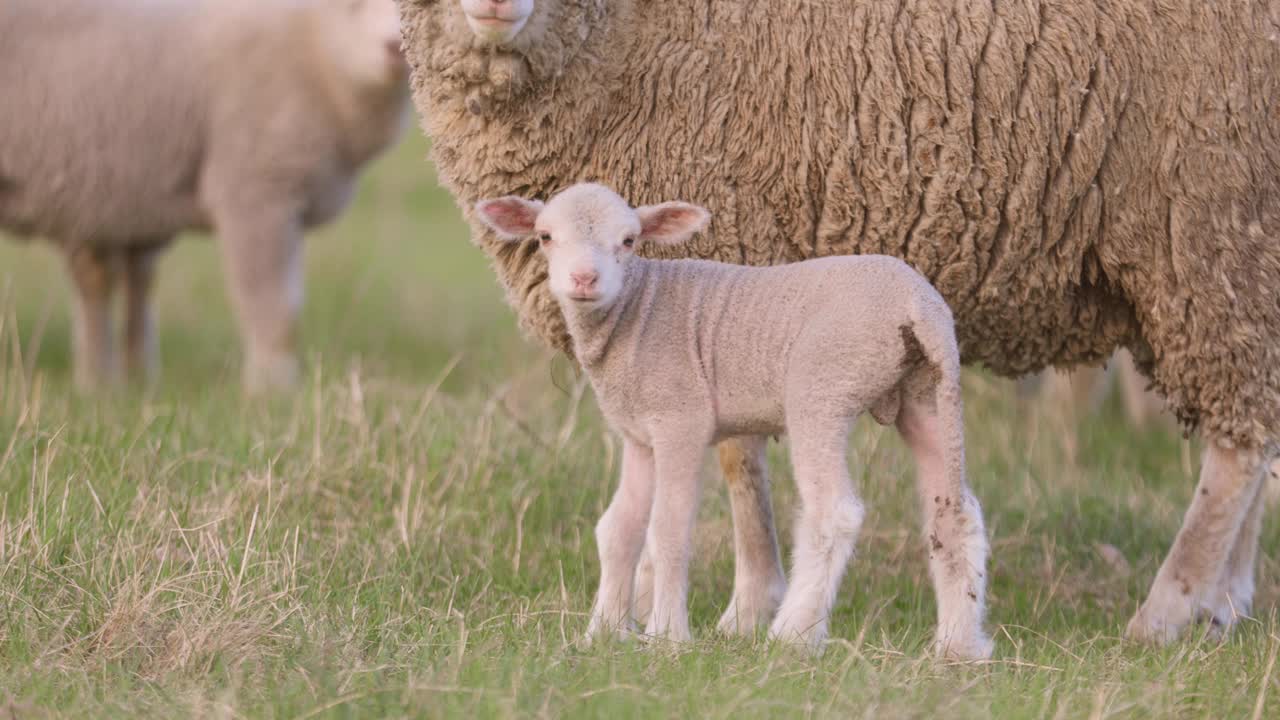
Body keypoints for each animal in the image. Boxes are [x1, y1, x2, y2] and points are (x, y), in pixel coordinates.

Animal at [0, 0, 409, 389]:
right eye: (351, 5)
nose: (395, 48)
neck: (314, 51)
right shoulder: (254, 189)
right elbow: (274, 306)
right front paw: (272, 388)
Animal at [476, 183, 993, 655]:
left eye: (628, 240)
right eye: (545, 236)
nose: (584, 279)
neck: (637, 310)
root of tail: (916, 305)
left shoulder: (680, 420)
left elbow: (667, 529)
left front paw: (666, 636)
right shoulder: (638, 435)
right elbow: (618, 529)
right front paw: (601, 632)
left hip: (823, 383)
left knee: (834, 512)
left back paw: (792, 634)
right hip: (929, 391)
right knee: (955, 511)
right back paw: (958, 645)